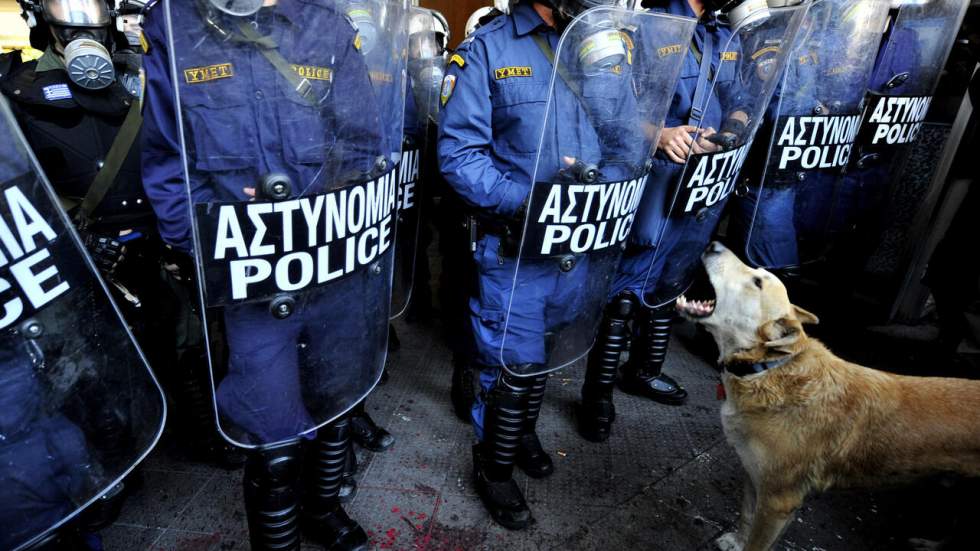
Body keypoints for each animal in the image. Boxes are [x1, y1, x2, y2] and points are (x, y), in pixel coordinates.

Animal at [676, 243, 980, 551]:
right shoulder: (753, 476)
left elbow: (757, 543)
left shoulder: (778, 500)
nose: (714, 245)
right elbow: (746, 516)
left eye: (758, 282)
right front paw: (737, 542)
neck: (767, 368)